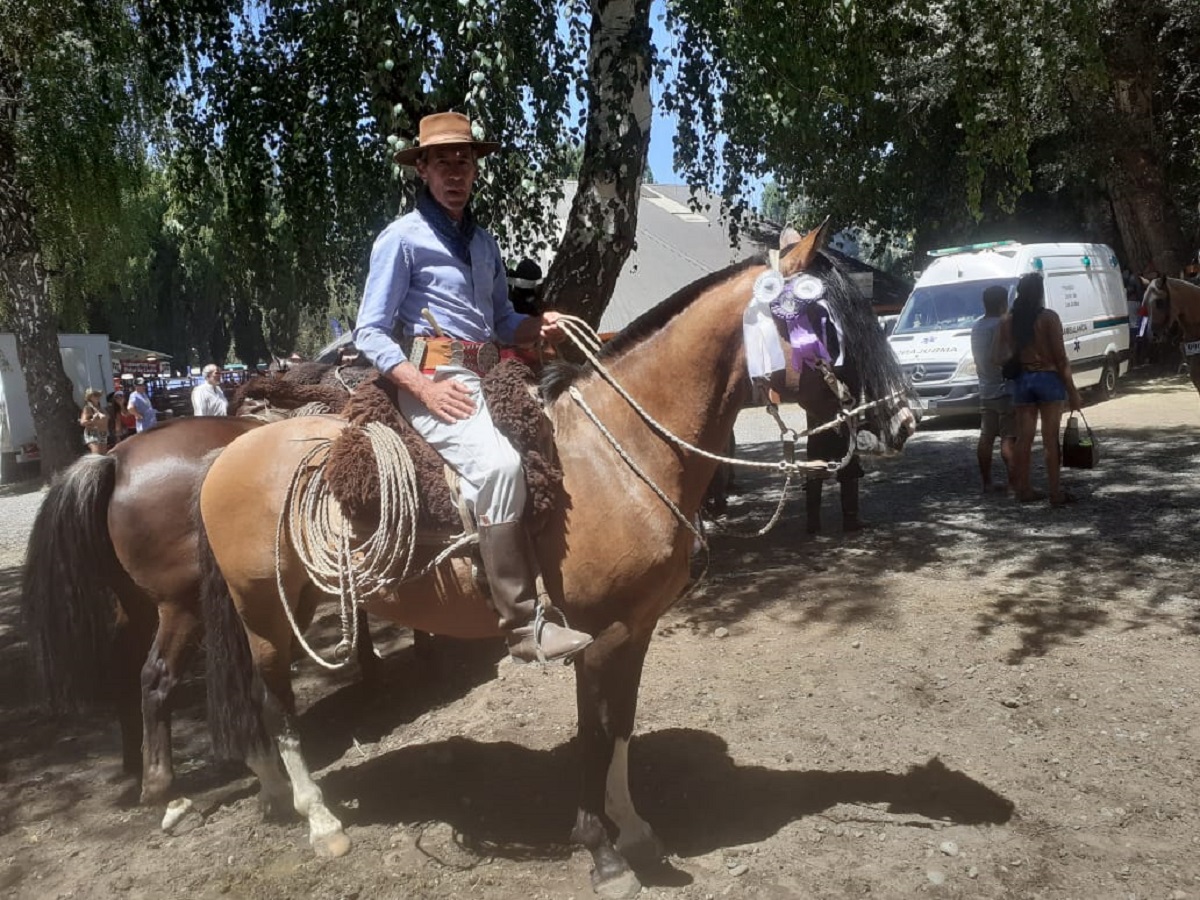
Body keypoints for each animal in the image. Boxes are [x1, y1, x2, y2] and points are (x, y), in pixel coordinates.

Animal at [196, 229, 912, 897]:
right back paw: (320, 821)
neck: (619, 449)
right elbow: (593, 737)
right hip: (265, 615)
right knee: (277, 710)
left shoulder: (636, 630)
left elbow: (621, 728)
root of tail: (227, 454)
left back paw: (275, 798)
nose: (902, 420)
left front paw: (636, 830)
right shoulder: (594, 636)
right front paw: (603, 853)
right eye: (827, 324)